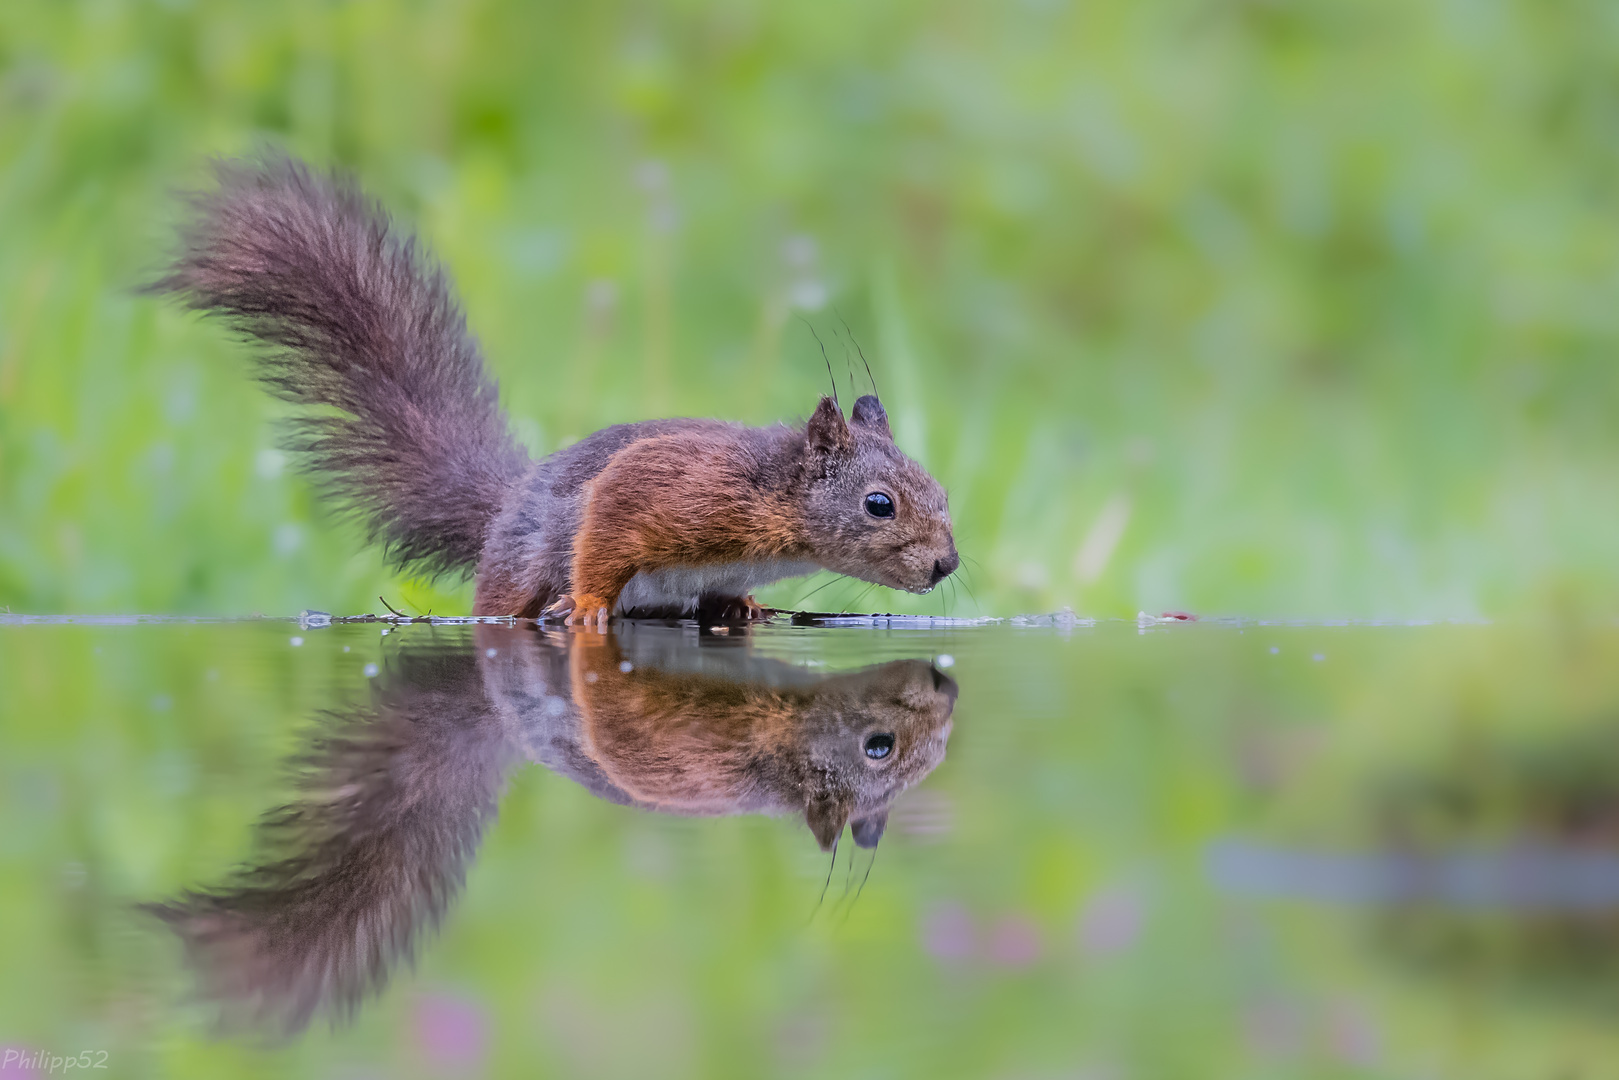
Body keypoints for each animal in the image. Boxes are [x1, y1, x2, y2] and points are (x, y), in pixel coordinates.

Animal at [152, 153, 951, 625]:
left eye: (941, 491)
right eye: (879, 504)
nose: (947, 564)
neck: (775, 504)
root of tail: (504, 512)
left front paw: (747, 606)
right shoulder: (678, 490)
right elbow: (608, 529)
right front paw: (590, 603)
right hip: (515, 572)